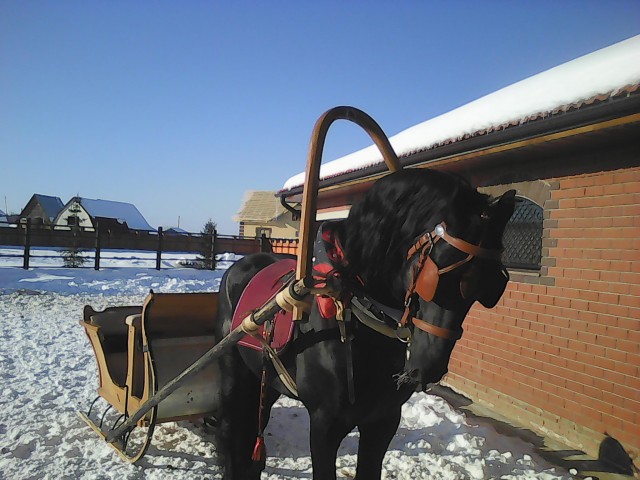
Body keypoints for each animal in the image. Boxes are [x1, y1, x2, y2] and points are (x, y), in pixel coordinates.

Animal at [212, 167, 516, 478]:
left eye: (491, 285)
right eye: (437, 271)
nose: (428, 366)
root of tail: (242, 265)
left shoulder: (383, 421)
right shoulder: (324, 426)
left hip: (267, 380)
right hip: (234, 376)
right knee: (232, 433)